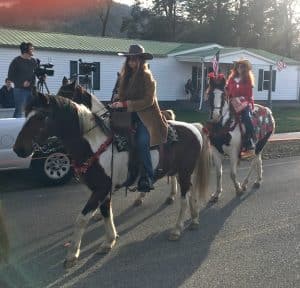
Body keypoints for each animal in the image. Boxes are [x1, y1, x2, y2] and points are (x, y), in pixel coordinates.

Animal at [14, 89, 210, 268]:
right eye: (26, 115)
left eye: (40, 117)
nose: (18, 149)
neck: (95, 146)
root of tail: (194, 127)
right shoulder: (104, 190)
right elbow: (106, 213)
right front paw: (109, 241)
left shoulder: (100, 189)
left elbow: (81, 219)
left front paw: (72, 255)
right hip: (181, 172)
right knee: (190, 194)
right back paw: (194, 219)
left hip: (184, 172)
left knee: (184, 199)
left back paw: (177, 229)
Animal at [206, 73, 274, 202]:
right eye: (211, 94)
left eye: (224, 96)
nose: (216, 116)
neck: (224, 125)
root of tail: (268, 112)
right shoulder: (216, 151)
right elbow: (218, 173)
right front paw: (216, 194)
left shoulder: (233, 152)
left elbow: (232, 174)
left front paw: (238, 189)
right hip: (259, 145)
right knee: (259, 160)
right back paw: (258, 180)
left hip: (261, 143)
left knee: (254, 162)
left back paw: (245, 183)